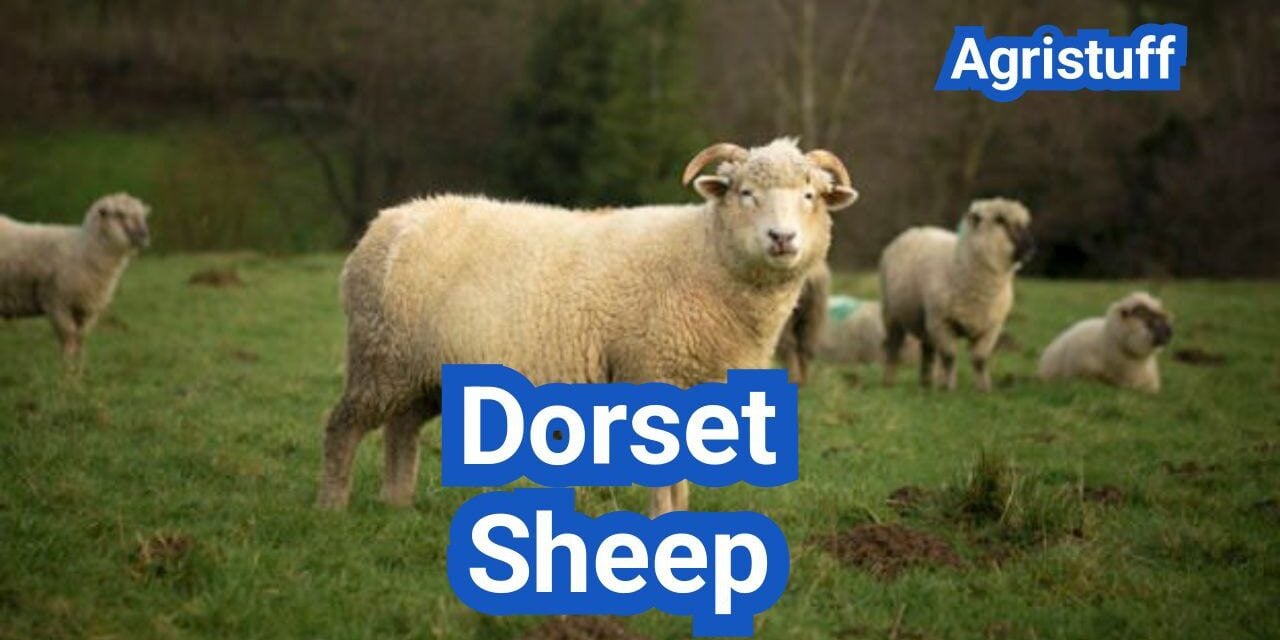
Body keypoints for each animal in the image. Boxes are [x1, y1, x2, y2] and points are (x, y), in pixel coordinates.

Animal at [0, 193, 151, 366]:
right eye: (120, 214)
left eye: (143, 215)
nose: (145, 235)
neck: (85, 250)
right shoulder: (58, 303)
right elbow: (69, 338)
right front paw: (66, 367)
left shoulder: (87, 309)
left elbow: (81, 338)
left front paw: (81, 365)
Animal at [316, 138, 860, 514]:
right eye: (746, 193)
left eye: (810, 195)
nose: (782, 238)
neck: (705, 257)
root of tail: (383, 225)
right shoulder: (652, 372)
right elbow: (662, 474)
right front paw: (663, 522)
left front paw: (682, 519)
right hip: (381, 355)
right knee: (344, 426)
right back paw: (333, 507)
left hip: (424, 370)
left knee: (402, 429)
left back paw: (398, 503)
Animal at [879, 197, 1033, 391]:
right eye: (1000, 220)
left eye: (1024, 224)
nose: (1031, 248)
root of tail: (917, 229)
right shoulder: (942, 322)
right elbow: (949, 357)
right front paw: (949, 387)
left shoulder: (991, 327)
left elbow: (980, 359)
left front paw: (983, 389)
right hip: (893, 315)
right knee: (893, 348)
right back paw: (889, 382)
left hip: (925, 321)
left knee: (927, 350)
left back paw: (927, 384)